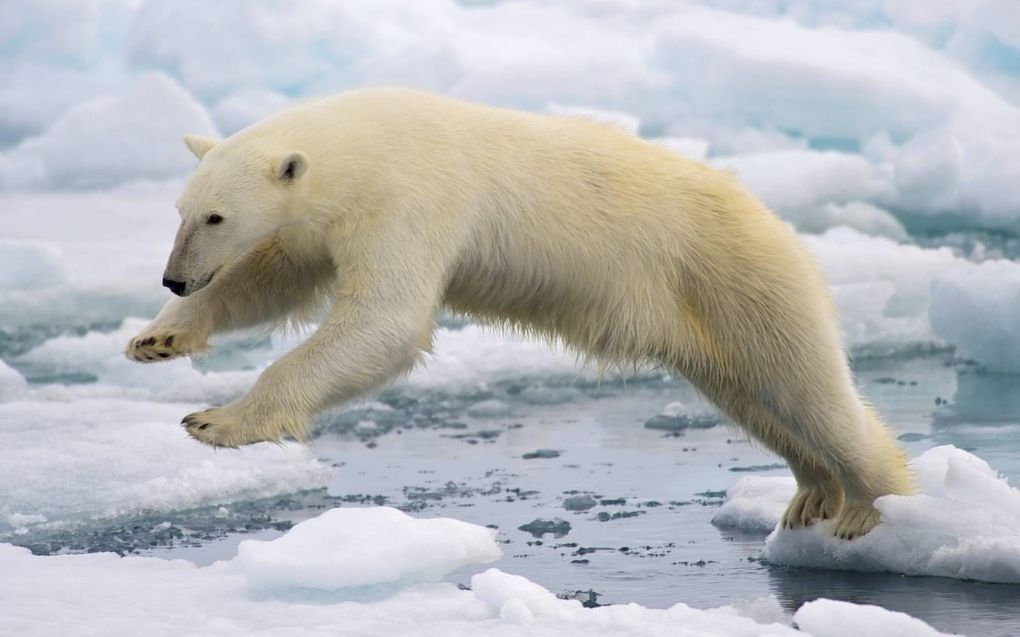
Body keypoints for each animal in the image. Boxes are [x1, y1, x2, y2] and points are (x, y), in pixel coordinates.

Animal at [123, 88, 913, 538]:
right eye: (181, 210)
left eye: (216, 216)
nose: (174, 277)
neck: (363, 144)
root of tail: (777, 224)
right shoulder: (326, 220)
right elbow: (275, 277)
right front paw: (157, 338)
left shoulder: (411, 198)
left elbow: (385, 319)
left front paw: (216, 421)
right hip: (706, 319)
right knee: (755, 398)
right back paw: (812, 494)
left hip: (738, 278)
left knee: (807, 388)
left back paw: (871, 506)